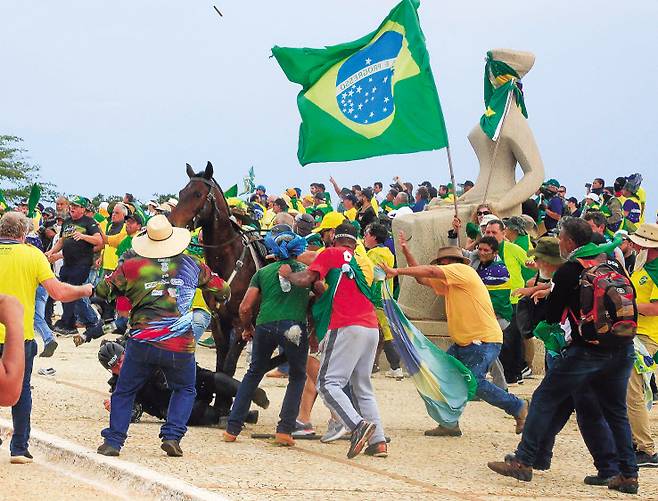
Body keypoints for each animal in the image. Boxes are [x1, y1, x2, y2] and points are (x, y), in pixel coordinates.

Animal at [168, 162, 262, 376]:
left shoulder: (241, 326)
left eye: (197, 194)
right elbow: (220, 367)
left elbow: (228, 368)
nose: (173, 225)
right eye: (181, 192)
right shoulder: (219, 322)